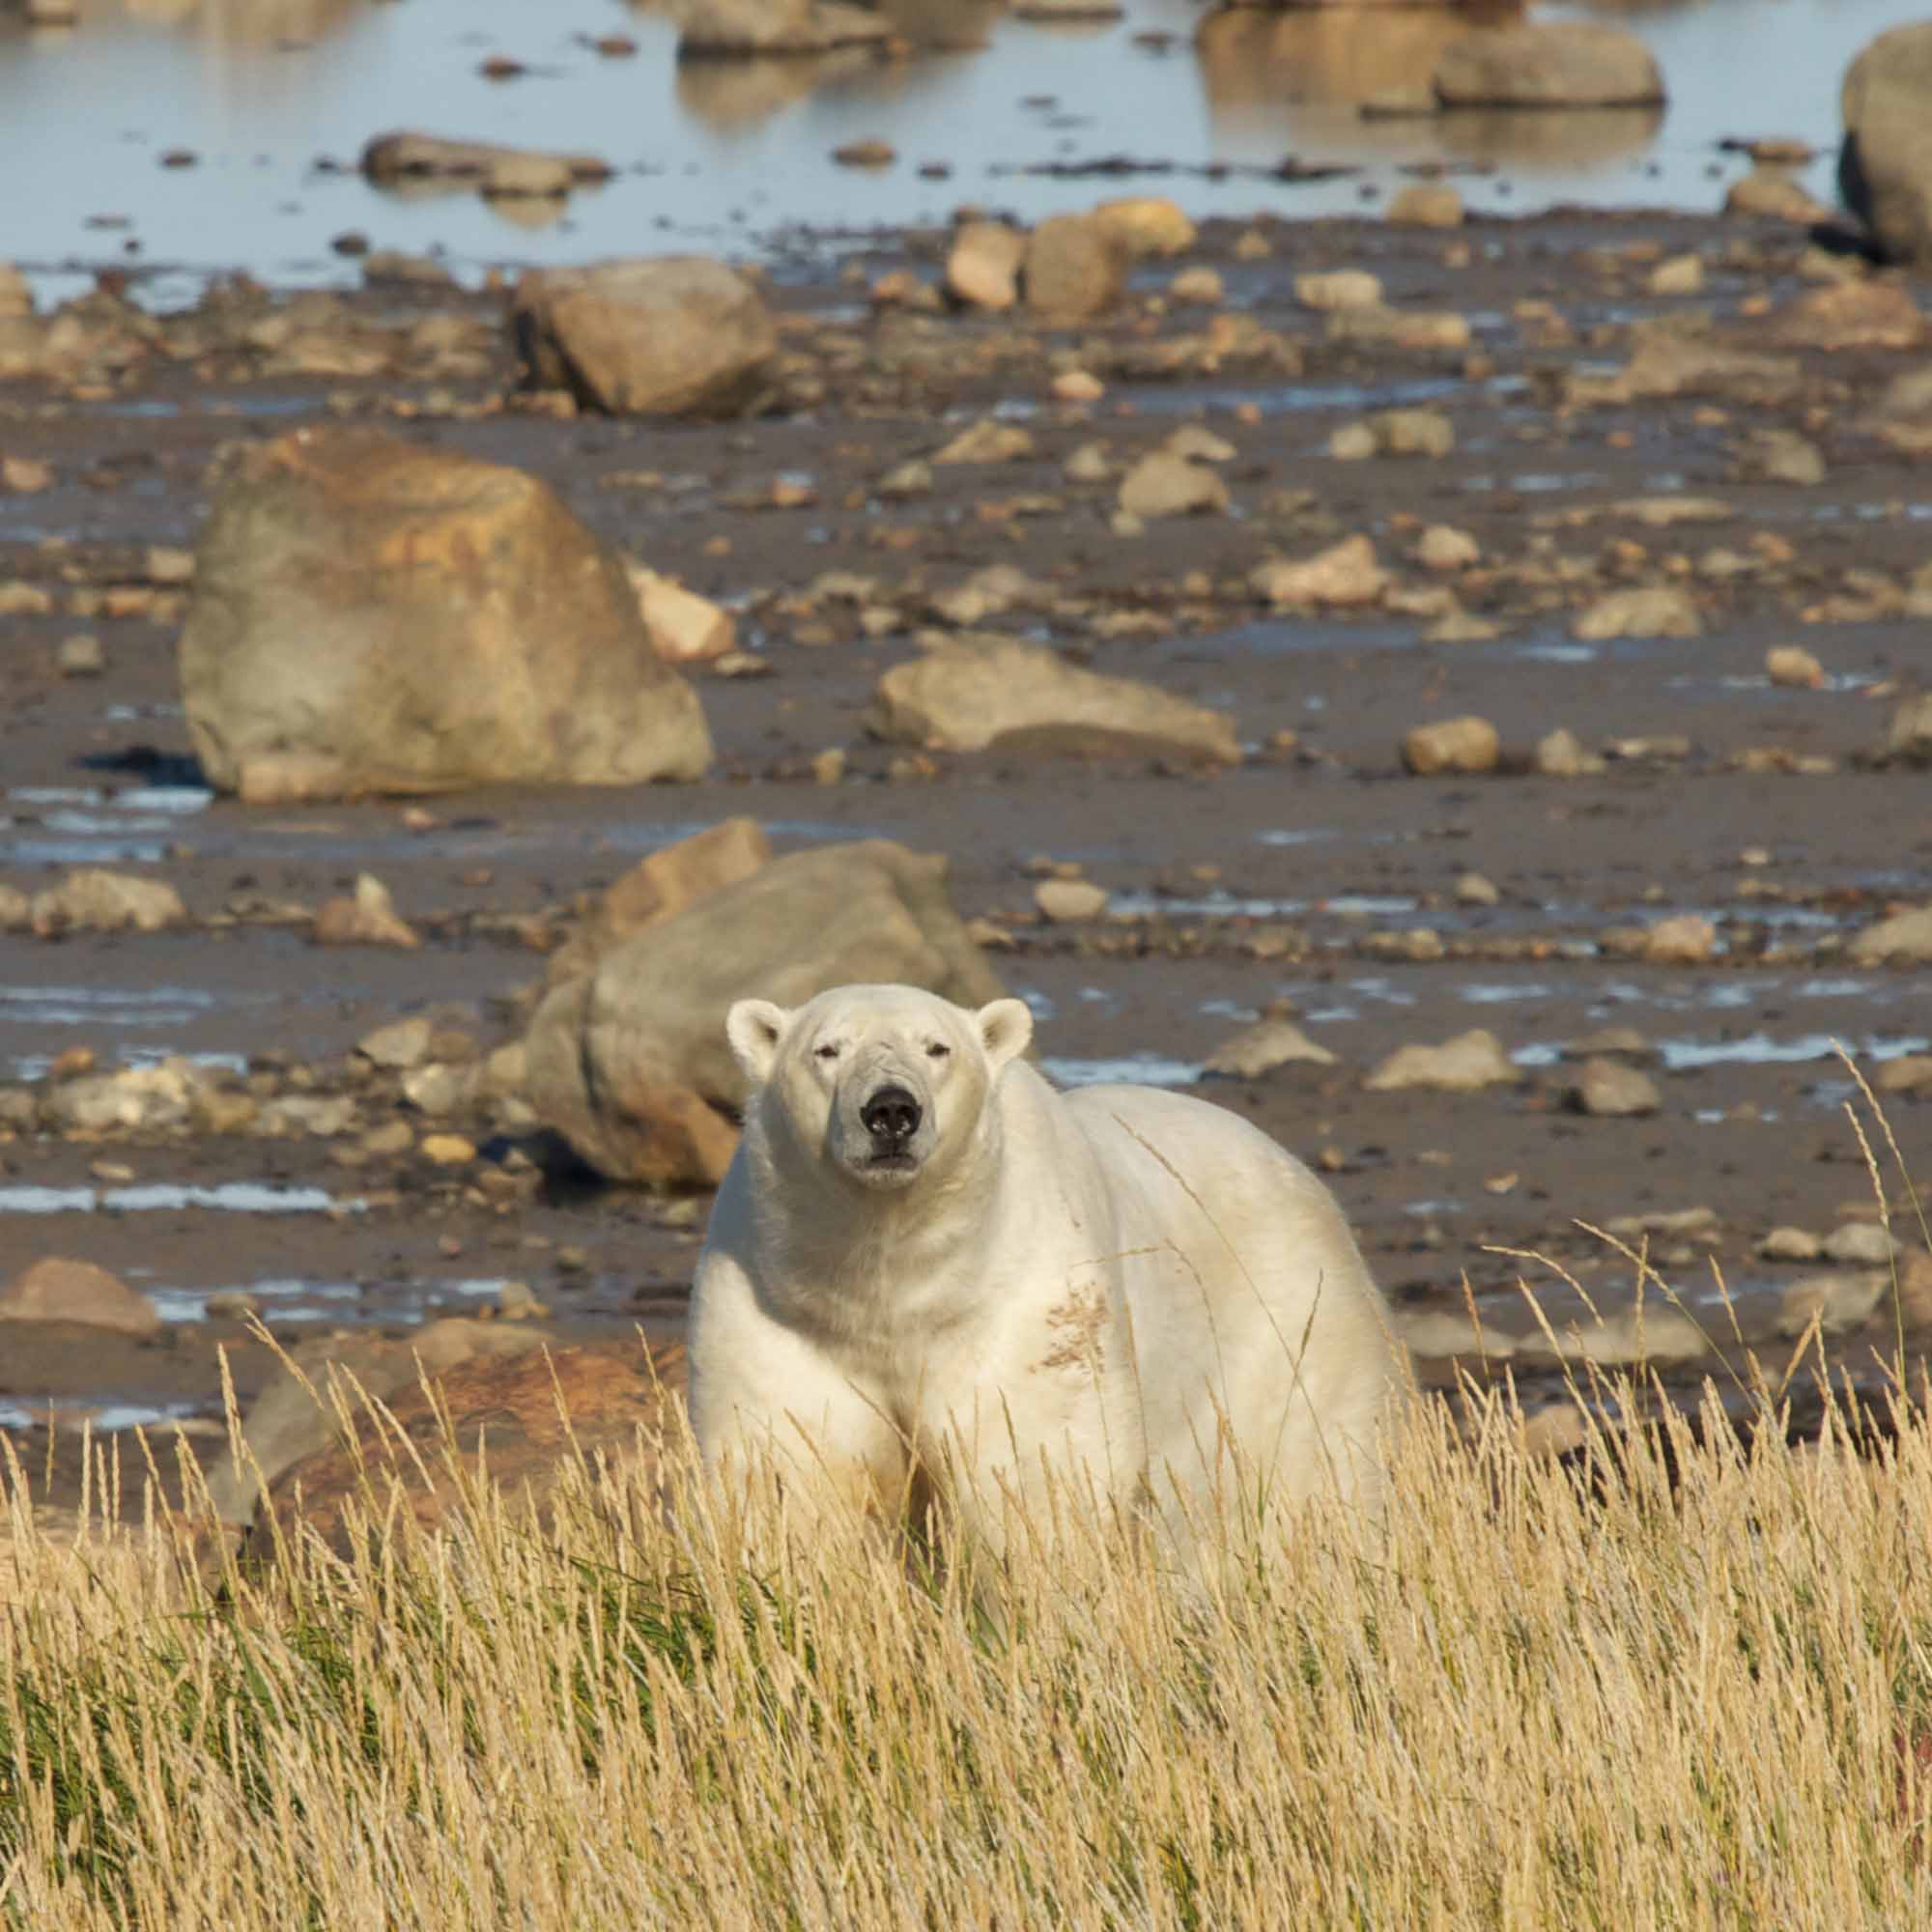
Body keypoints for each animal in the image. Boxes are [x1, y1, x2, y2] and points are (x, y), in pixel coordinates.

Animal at [696, 981, 1406, 1569]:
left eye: (937, 1047)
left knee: (1302, 1474)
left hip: (1288, 1326)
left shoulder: (1024, 1305)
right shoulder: (778, 1307)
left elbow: (1036, 1470)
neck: (893, 1287)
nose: (891, 1111)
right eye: (827, 1049)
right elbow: (795, 1474)